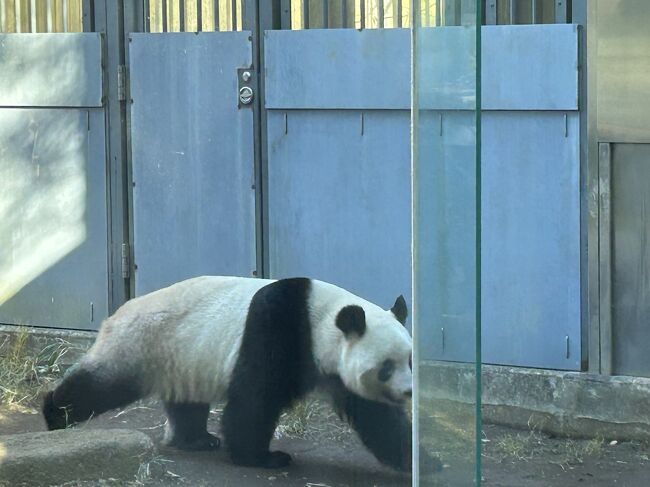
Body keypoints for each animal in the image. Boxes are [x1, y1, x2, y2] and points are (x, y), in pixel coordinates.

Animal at [41, 278, 416, 472]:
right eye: (386, 367)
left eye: (410, 360)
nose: (410, 391)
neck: (323, 318)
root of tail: (113, 315)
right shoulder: (277, 326)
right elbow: (255, 398)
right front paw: (264, 458)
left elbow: (376, 417)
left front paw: (416, 461)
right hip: (138, 345)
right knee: (98, 386)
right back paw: (54, 415)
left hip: (181, 356)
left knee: (186, 399)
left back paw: (195, 439)